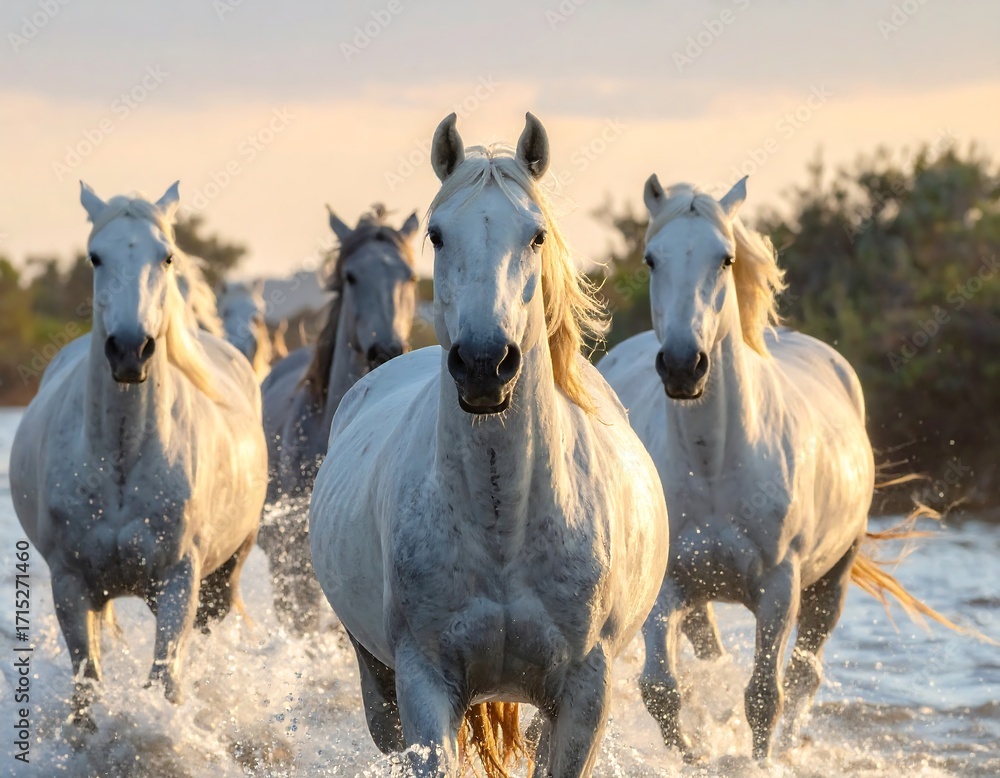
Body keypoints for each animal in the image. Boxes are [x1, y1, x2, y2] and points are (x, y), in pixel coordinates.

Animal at [8, 182, 267, 729]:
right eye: (95, 257)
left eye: (166, 256)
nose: (130, 350)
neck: (122, 463)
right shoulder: (70, 583)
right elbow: (87, 687)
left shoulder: (178, 583)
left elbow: (165, 681)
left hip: (223, 574)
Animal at [309, 113, 669, 777]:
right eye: (436, 235)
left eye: (535, 235)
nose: (482, 364)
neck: (504, 525)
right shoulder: (424, 683)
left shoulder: (584, 695)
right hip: (380, 686)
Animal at [599, 175, 915, 760]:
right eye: (652, 259)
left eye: (725, 259)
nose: (683, 366)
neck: (714, 465)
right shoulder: (669, 586)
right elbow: (663, 689)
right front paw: (694, 756)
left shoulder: (778, 588)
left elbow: (765, 694)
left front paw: (761, 761)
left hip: (831, 580)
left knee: (805, 674)